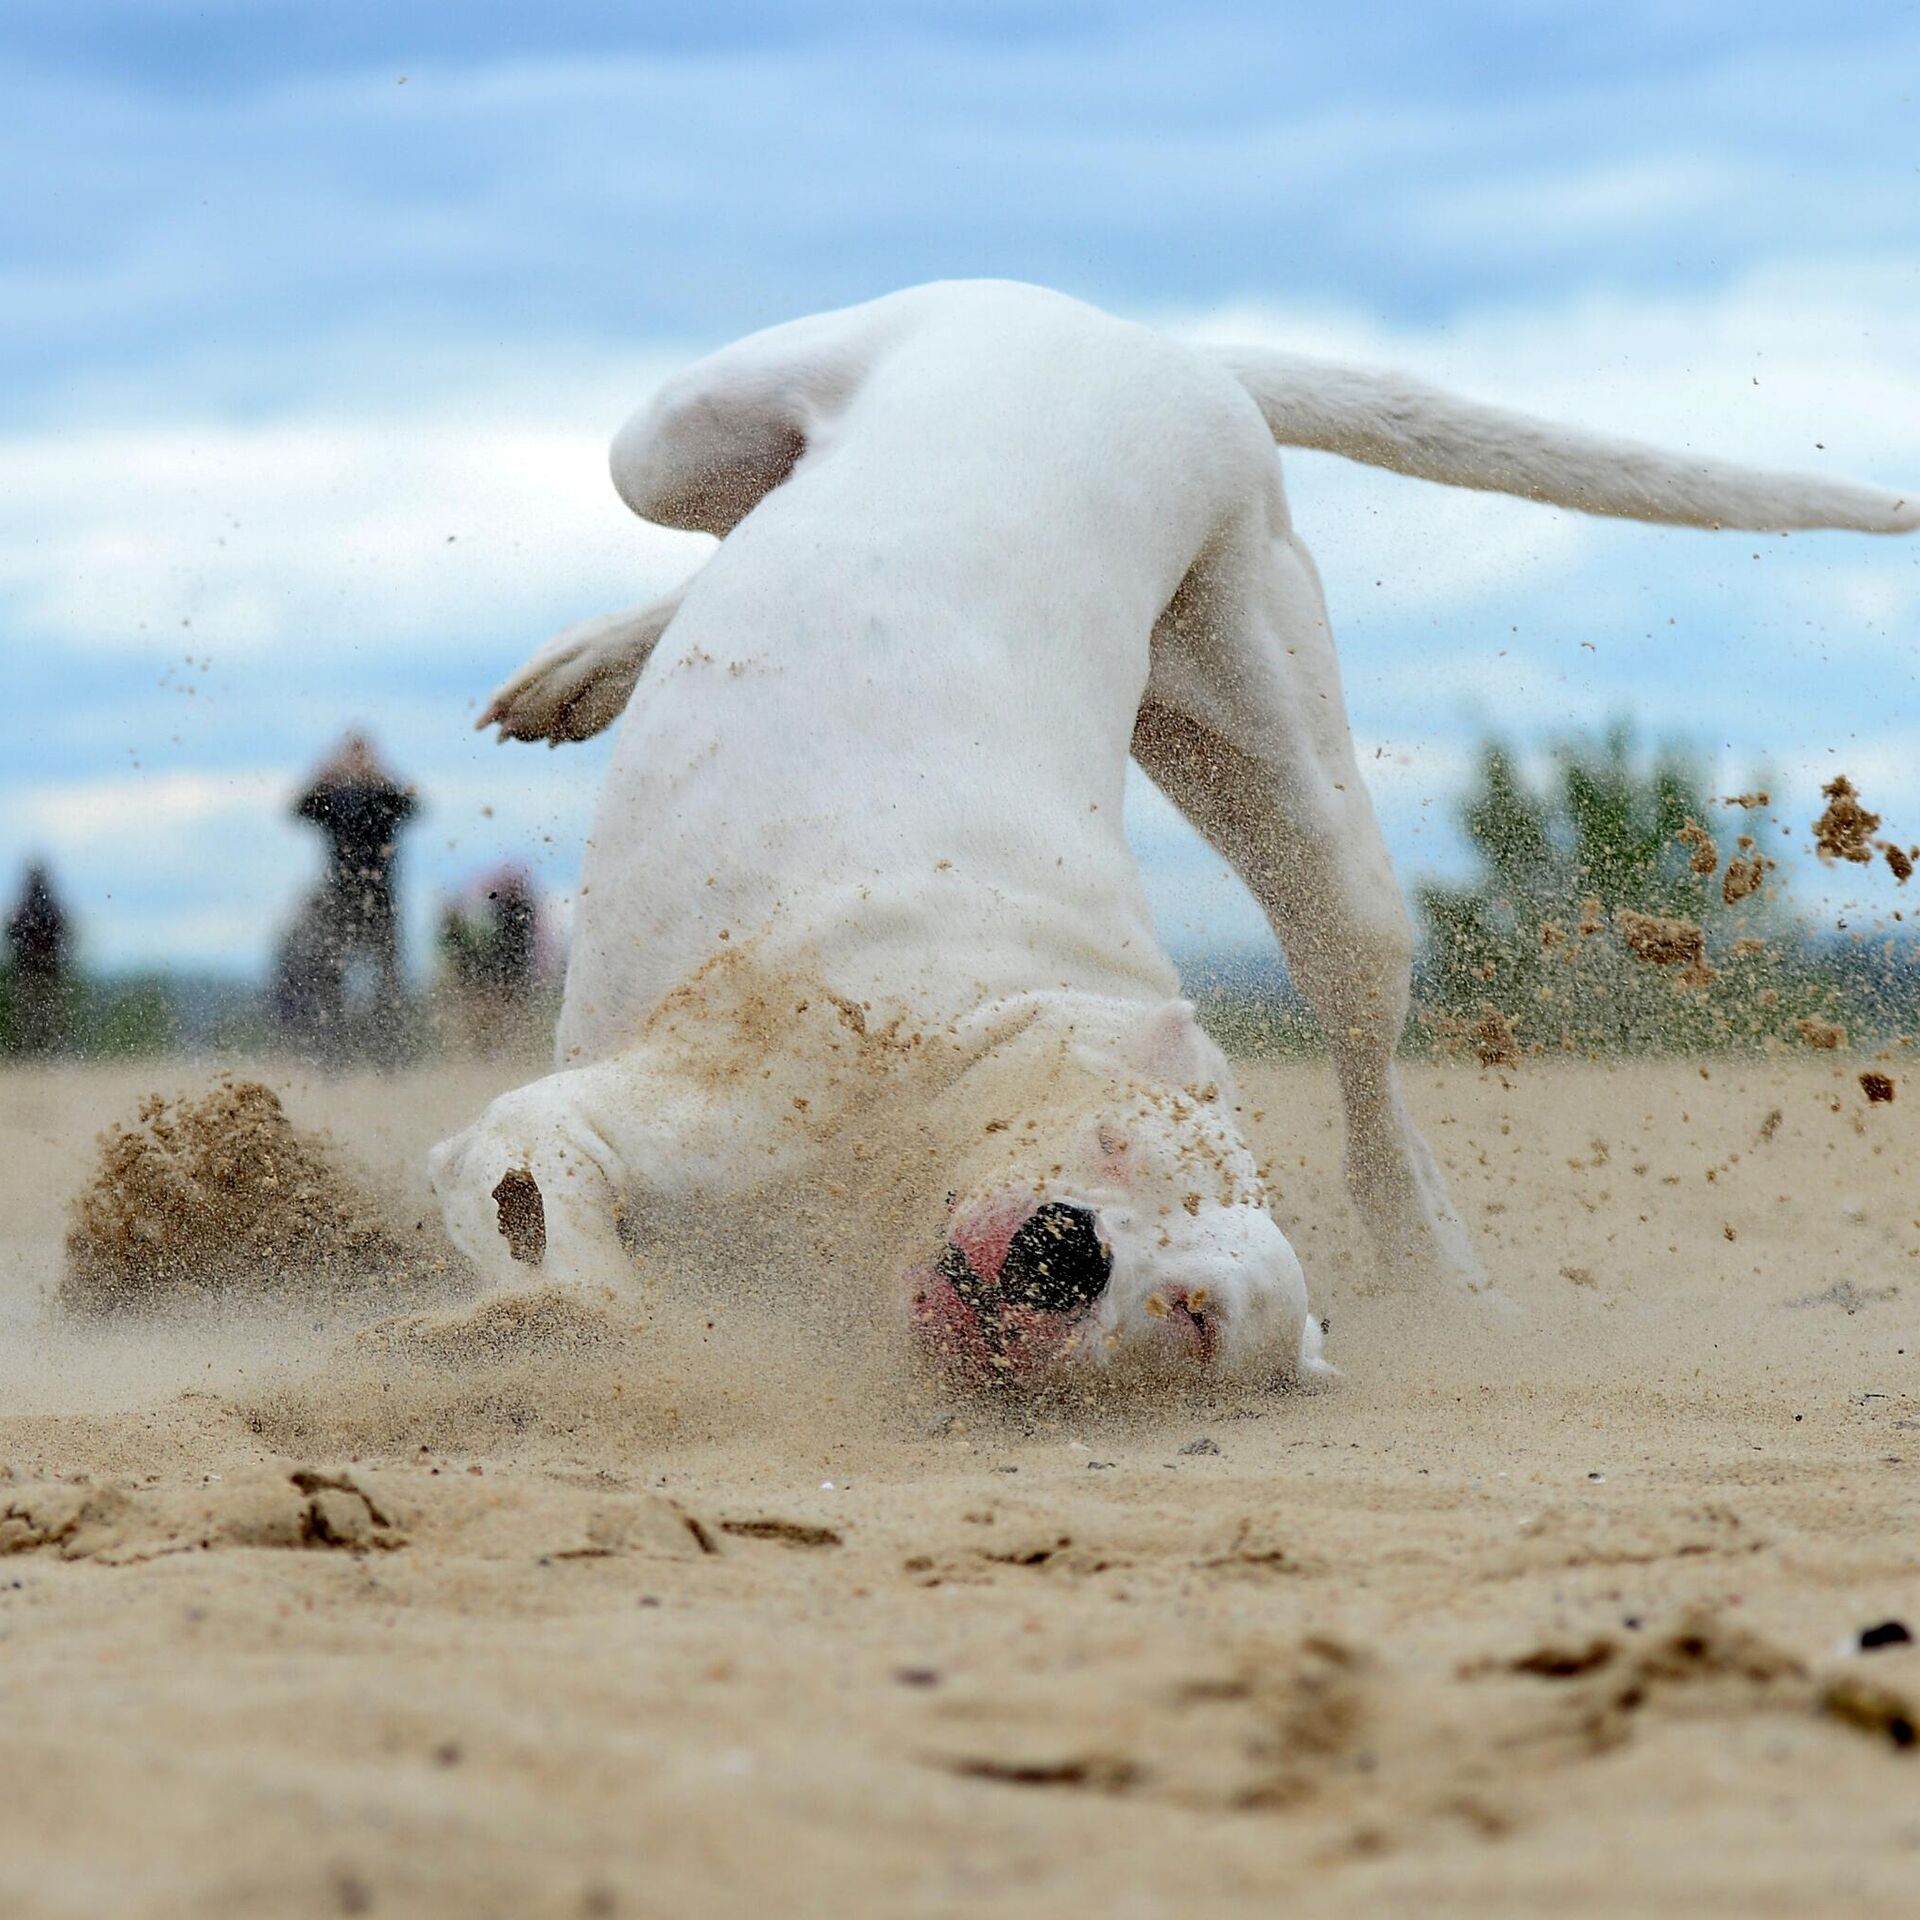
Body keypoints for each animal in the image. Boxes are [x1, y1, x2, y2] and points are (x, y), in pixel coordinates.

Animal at [428, 278, 1912, 1382]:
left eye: (1193, 1315)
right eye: (1120, 1148)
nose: (1065, 1252)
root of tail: (1170, 346)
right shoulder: (578, 1122)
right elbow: (572, 1258)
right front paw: (543, 1328)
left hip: (1274, 771)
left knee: (1371, 1084)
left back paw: (1439, 1275)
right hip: (688, 432)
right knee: (713, 513)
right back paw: (587, 664)